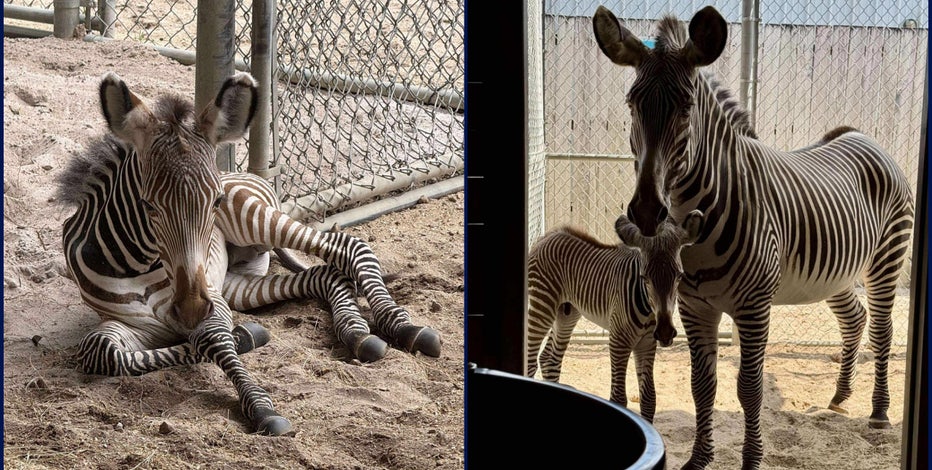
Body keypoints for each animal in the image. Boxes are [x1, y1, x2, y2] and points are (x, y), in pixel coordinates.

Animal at [56, 72, 442, 436]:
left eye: (215, 201)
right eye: (147, 205)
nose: (191, 310)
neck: (133, 264)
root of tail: (239, 172)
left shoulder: (210, 300)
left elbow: (212, 339)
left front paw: (260, 407)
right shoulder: (139, 321)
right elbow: (104, 353)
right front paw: (245, 338)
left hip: (255, 220)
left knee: (349, 247)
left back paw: (406, 328)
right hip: (236, 284)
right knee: (324, 275)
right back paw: (357, 333)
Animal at [526, 210, 703, 423]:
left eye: (680, 276)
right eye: (644, 277)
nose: (665, 333)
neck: (647, 310)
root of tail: (548, 236)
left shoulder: (646, 343)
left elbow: (649, 398)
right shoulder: (619, 341)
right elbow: (618, 398)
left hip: (567, 313)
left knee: (549, 359)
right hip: (543, 305)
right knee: (531, 360)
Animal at [592, 6, 914, 469]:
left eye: (687, 108)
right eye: (632, 104)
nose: (649, 211)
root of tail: (862, 136)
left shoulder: (754, 307)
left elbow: (749, 387)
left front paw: (751, 459)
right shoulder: (695, 307)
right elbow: (702, 385)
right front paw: (699, 459)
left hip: (886, 258)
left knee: (883, 330)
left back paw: (879, 412)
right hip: (836, 273)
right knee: (854, 318)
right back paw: (840, 396)